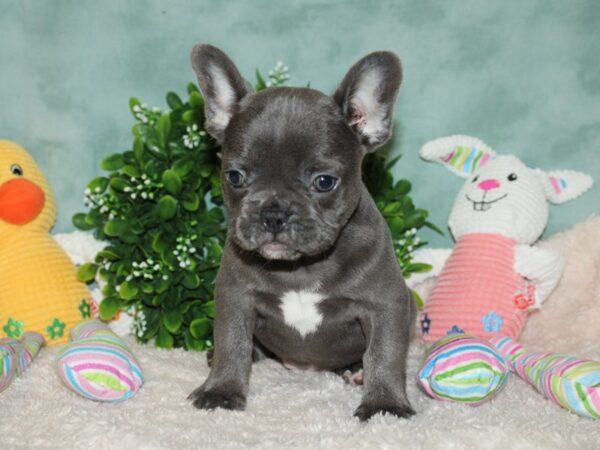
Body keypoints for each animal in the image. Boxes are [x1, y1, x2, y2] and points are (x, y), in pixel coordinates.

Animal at [190, 44, 414, 420]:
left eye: (324, 181)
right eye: (234, 176)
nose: (273, 214)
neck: (301, 267)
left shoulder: (385, 302)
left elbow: (385, 352)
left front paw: (385, 405)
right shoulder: (236, 296)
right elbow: (231, 343)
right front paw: (220, 390)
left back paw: (356, 373)